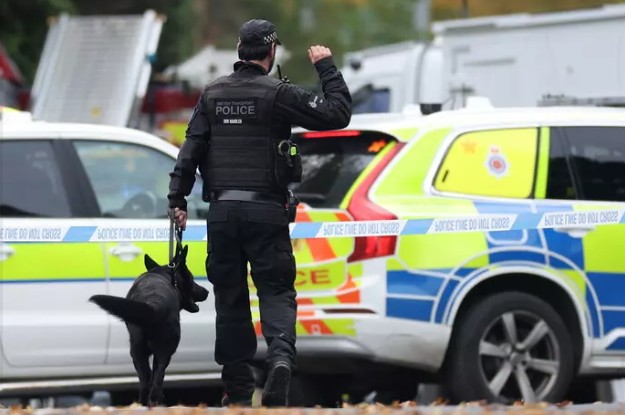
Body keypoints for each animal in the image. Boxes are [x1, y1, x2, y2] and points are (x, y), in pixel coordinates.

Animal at [90, 245, 209, 407]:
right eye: (192, 280)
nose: (207, 291)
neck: (166, 276)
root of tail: (154, 304)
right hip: (165, 351)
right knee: (158, 378)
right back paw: (157, 401)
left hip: (137, 352)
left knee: (146, 380)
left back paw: (143, 403)